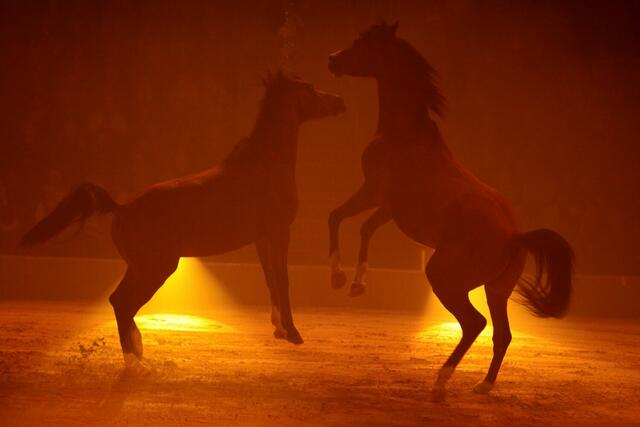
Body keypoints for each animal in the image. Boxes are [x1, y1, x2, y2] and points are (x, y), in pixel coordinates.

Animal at [21, 71, 346, 371]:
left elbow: (270, 279)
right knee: (122, 303)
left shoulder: (262, 237)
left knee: (119, 303)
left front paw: (279, 328)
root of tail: (121, 208)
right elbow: (283, 279)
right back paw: (135, 361)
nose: (339, 101)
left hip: (143, 267)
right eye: (309, 89)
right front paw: (293, 332)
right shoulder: (279, 231)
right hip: (155, 268)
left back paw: (138, 352)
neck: (264, 165)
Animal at [327, 22, 574, 398]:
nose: (333, 59)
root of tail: (514, 235)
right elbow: (359, 226)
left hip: (445, 278)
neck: (405, 135)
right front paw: (354, 282)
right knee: (501, 334)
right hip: (496, 290)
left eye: (362, 44)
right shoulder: (390, 208)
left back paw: (441, 381)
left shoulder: (374, 193)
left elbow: (340, 219)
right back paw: (483, 385)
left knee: (474, 324)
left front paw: (341, 278)